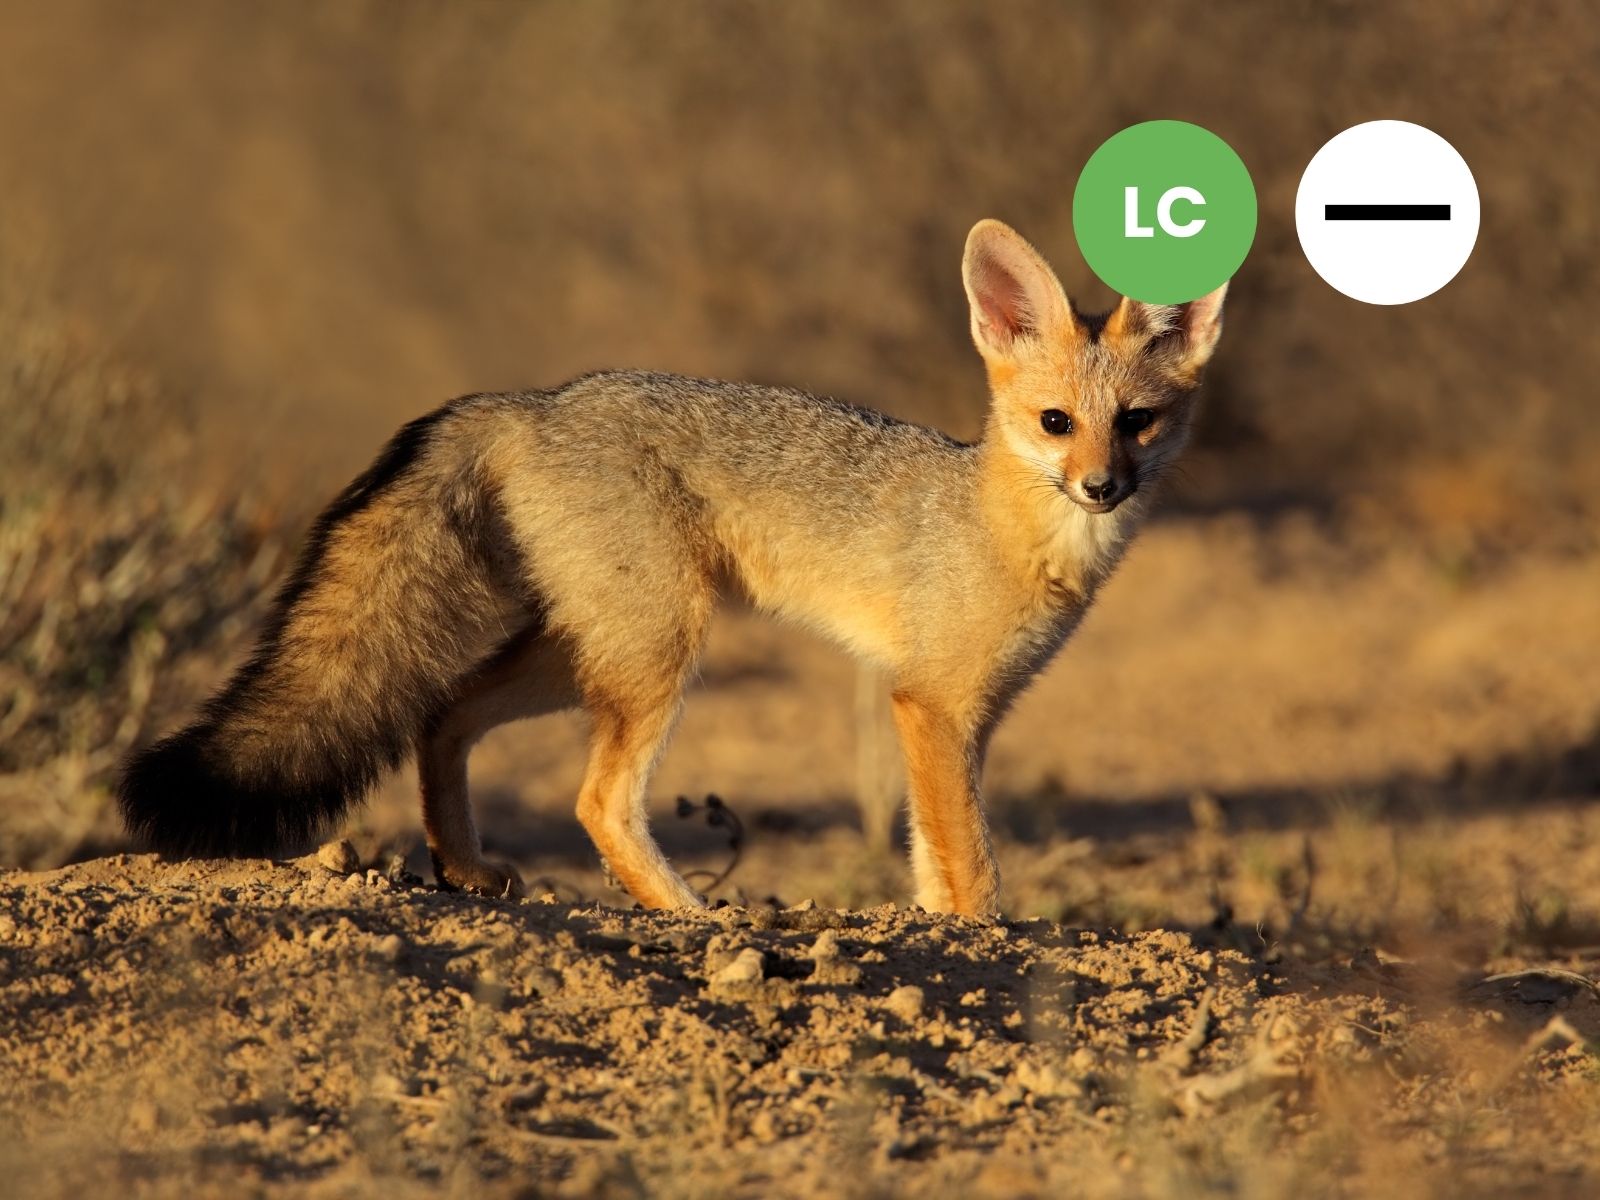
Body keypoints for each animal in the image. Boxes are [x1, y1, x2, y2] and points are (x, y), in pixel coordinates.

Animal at [118, 219, 1227, 916]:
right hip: (658, 656)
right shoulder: (932, 706)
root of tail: (531, 400)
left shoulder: (960, 719)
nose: (1102, 487)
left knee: (441, 717)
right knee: (596, 802)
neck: (1001, 525)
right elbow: (972, 868)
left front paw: (935, 924)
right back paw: (693, 916)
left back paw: (466, 869)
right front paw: (982, 937)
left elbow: (929, 857)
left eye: (1137, 424)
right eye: (1056, 423)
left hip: (583, 655)